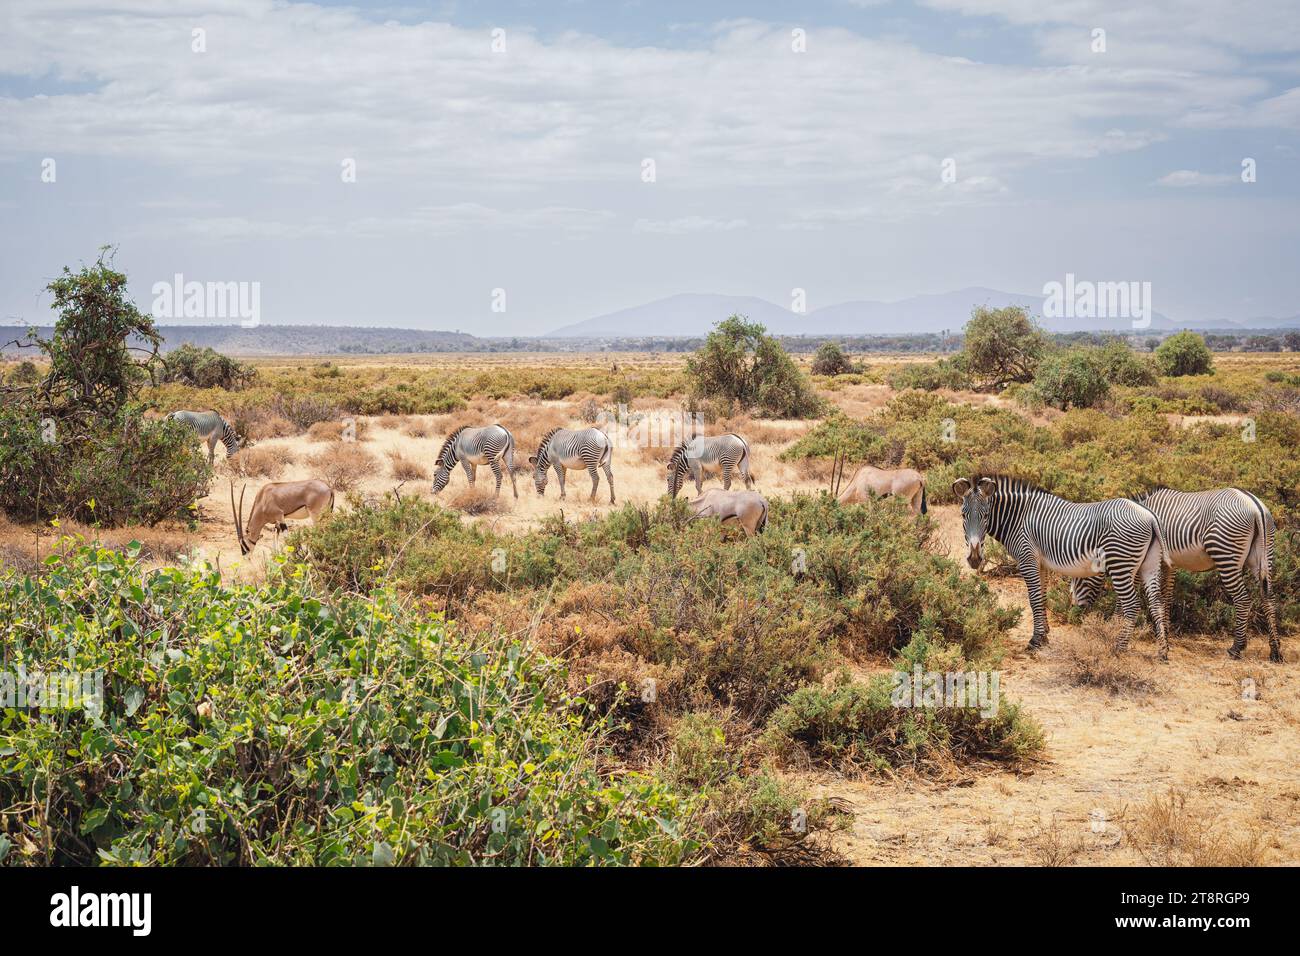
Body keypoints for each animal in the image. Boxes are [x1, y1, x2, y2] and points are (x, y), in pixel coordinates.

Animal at [951, 478, 1175, 658]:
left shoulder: (1027, 558)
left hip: (1120, 563)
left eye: (986, 515)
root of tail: (1149, 516)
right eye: (963, 515)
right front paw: (1044, 636)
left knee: (1132, 605)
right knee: (1156, 603)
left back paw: (1118, 648)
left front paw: (1035, 641)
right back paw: (1162, 651)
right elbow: (1042, 597)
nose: (974, 558)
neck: (1018, 518)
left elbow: (1034, 599)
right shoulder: (1040, 563)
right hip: (1149, 565)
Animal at [1076, 489, 1279, 660]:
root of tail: (1254, 505)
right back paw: (1275, 650)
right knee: (1268, 597)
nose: (1080, 609)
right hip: (1262, 556)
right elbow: (1166, 598)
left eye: (1080, 576)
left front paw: (1115, 626)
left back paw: (1236, 648)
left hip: (1226, 554)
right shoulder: (1168, 564)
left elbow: (1128, 598)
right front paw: (1165, 639)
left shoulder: (1142, 561)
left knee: (1243, 599)